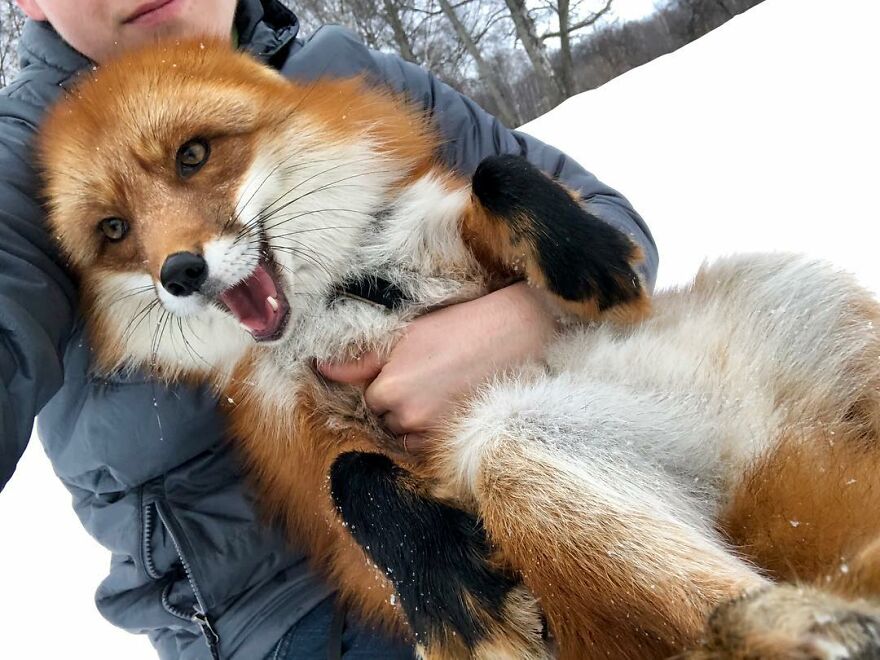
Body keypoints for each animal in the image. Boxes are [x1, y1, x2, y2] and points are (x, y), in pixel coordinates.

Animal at [36, 38, 880, 656]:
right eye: (115, 230)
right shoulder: (304, 442)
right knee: (714, 620)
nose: (180, 272)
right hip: (520, 455)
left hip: (794, 305)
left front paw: (587, 255)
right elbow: (349, 484)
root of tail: (749, 455)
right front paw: (457, 594)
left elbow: (499, 173)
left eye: (193, 155)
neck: (347, 291)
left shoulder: (455, 244)